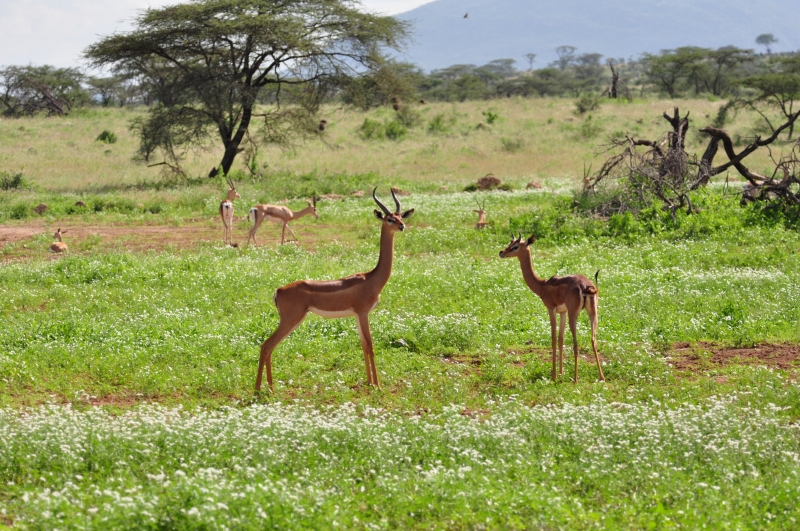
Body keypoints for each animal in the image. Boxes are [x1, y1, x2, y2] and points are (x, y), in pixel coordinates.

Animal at [255, 188, 414, 392]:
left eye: (400, 216)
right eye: (389, 219)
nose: (402, 226)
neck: (371, 279)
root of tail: (279, 290)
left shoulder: (356, 315)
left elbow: (363, 345)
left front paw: (369, 382)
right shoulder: (363, 313)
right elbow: (370, 345)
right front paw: (377, 385)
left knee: (270, 347)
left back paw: (270, 387)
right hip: (291, 319)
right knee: (266, 345)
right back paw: (259, 390)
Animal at [499, 233, 604, 383]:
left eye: (515, 246)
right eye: (510, 243)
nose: (502, 252)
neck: (542, 285)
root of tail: (586, 286)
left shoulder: (551, 309)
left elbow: (553, 339)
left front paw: (554, 376)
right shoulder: (563, 312)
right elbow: (560, 340)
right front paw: (561, 373)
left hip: (574, 315)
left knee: (576, 343)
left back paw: (575, 379)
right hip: (593, 314)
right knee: (593, 340)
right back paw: (601, 377)